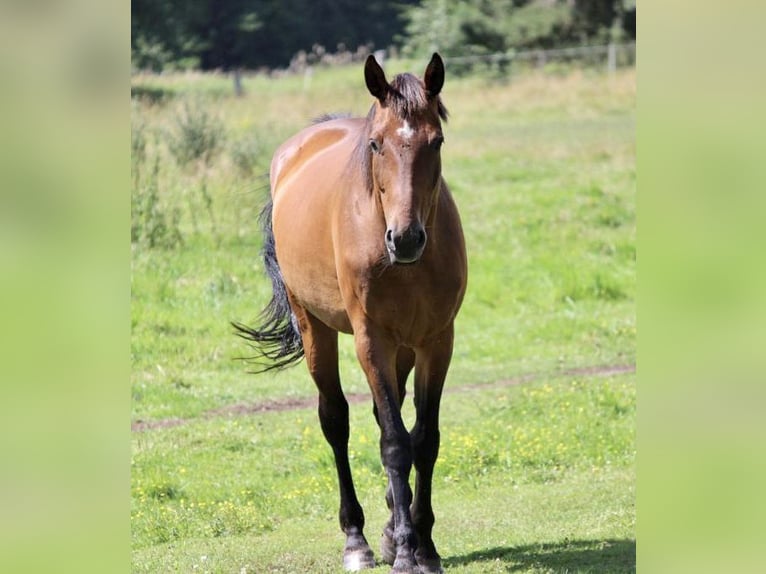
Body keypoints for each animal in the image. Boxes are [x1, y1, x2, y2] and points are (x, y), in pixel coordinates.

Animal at [236, 54, 468, 574]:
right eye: (377, 143)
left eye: (437, 141)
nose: (406, 239)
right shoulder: (370, 339)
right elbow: (395, 444)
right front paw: (406, 551)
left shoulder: (436, 340)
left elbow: (424, 438)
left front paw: (424, 546)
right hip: (316, 328)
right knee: (335, 420)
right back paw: (357, 539)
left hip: (403, 349)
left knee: (389, 417)